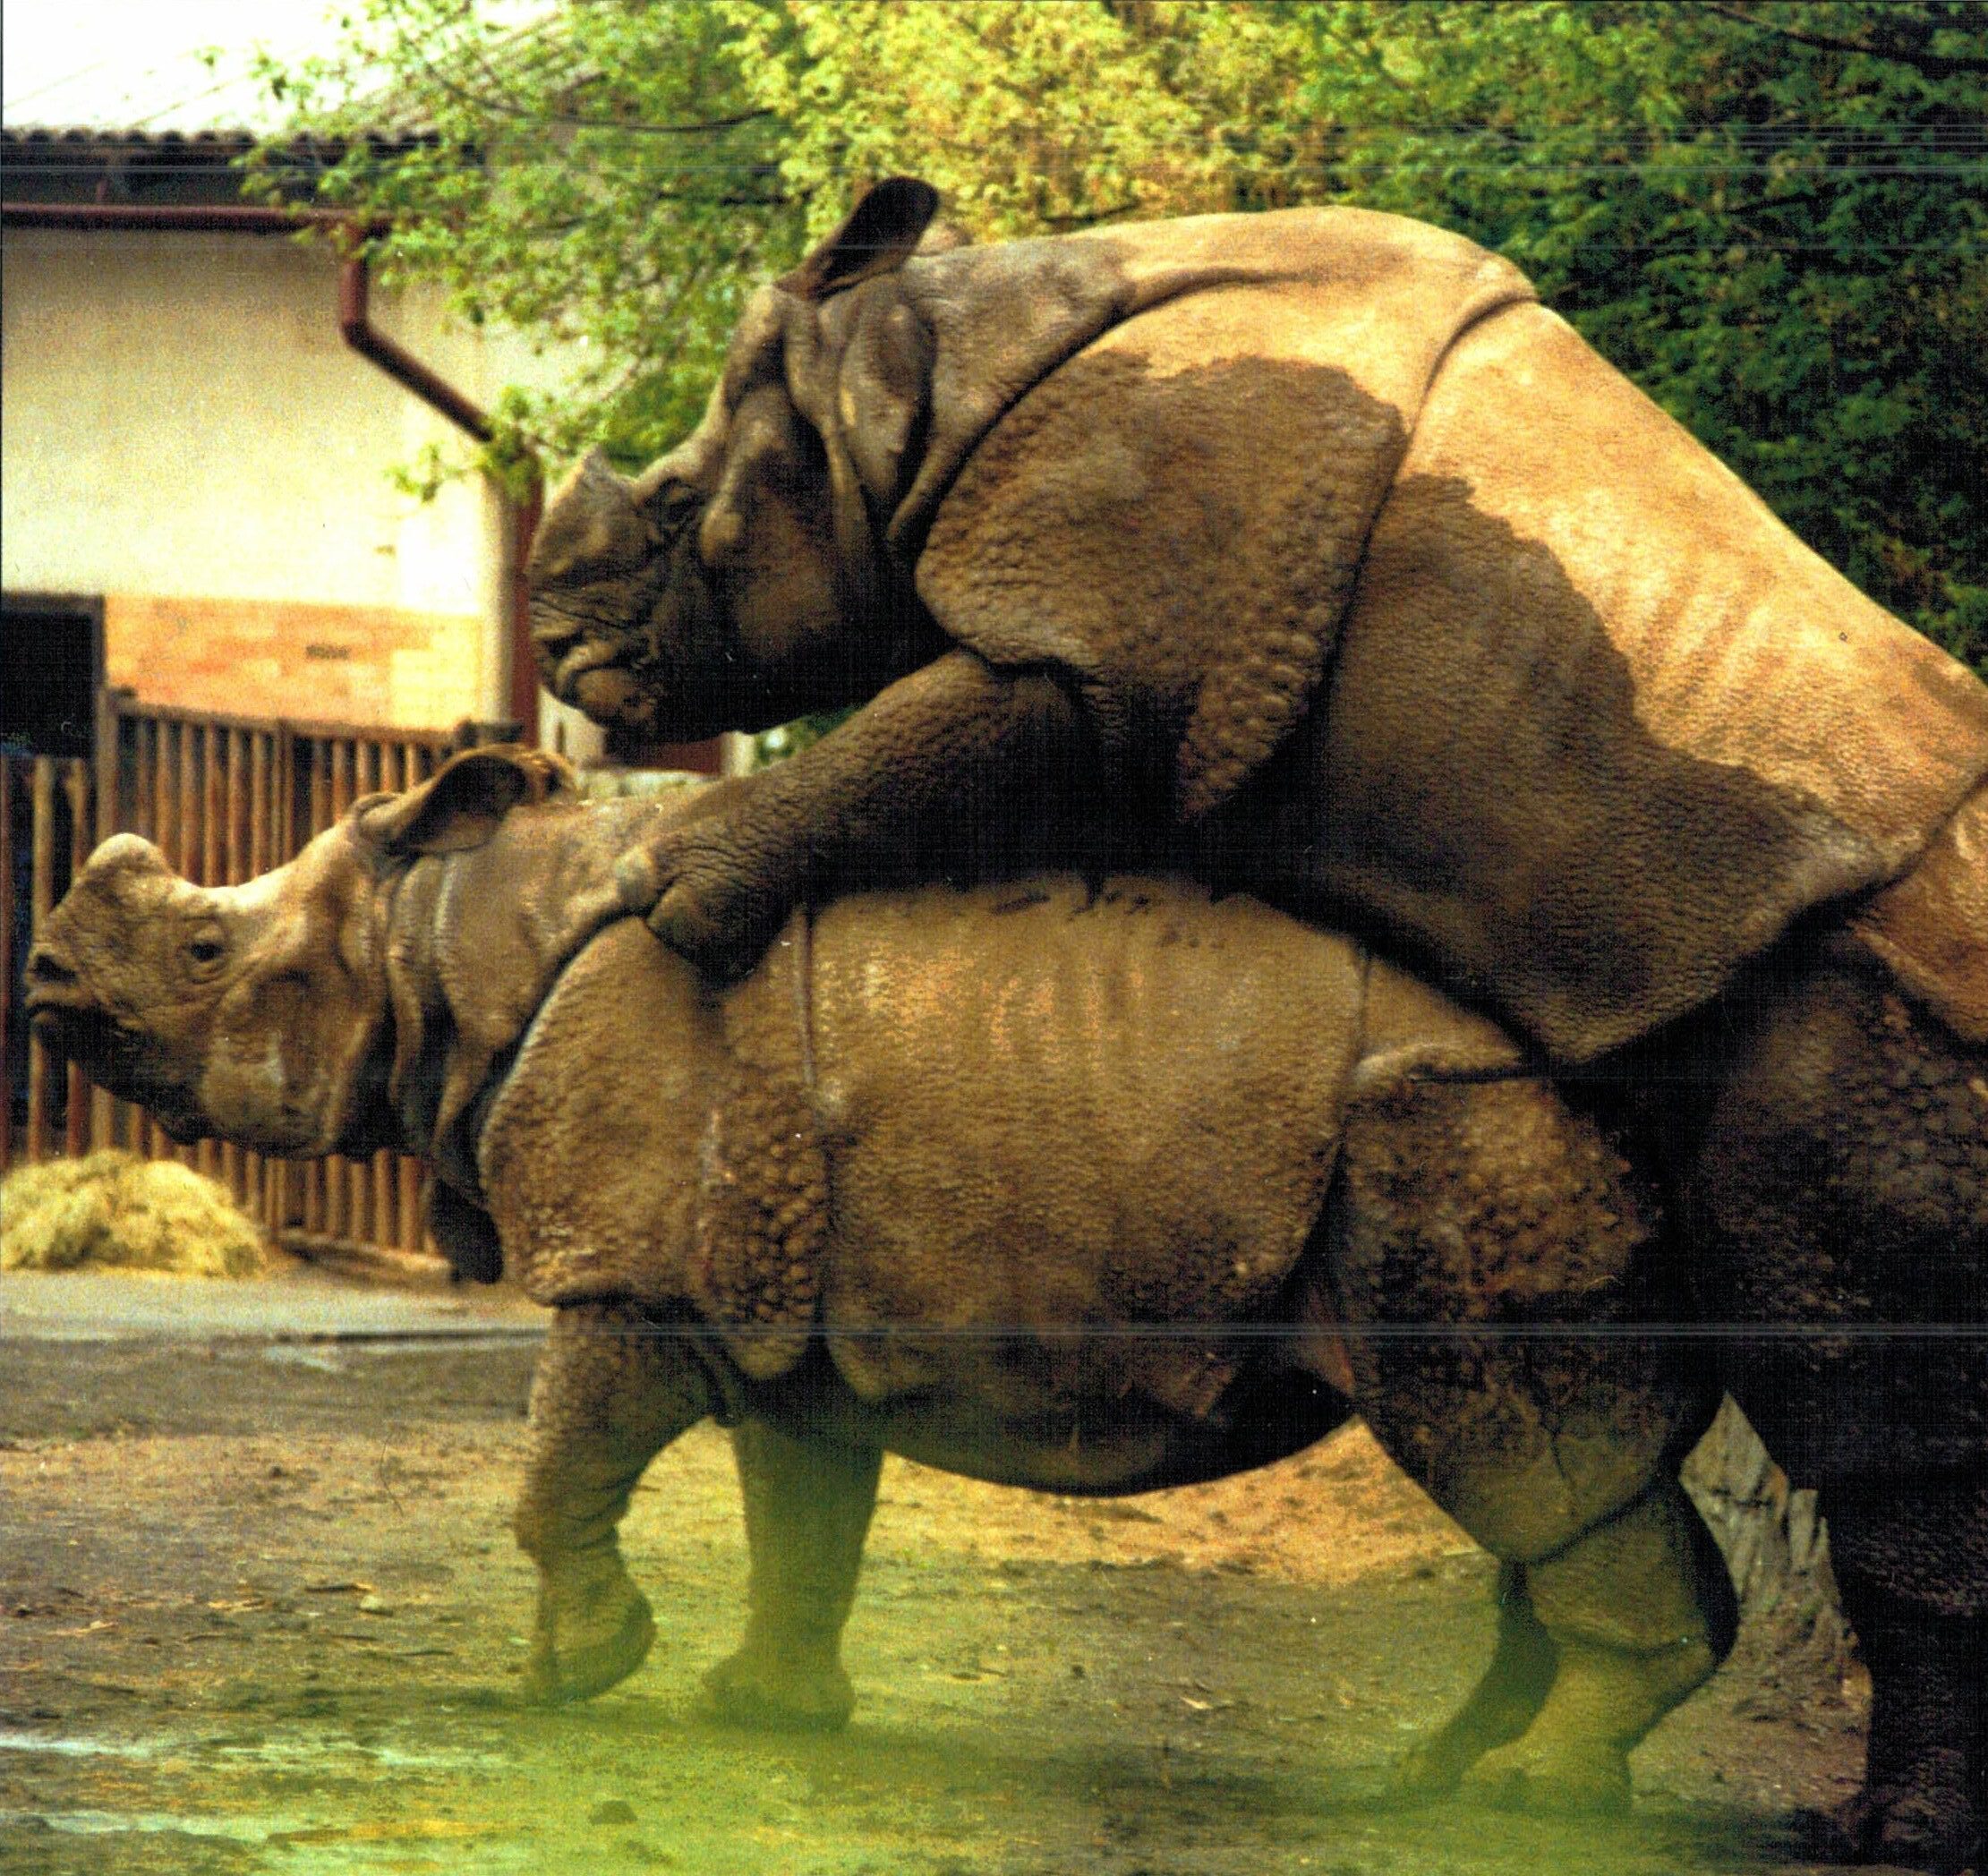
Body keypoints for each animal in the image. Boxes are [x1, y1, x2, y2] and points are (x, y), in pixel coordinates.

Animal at [26, 750, 1986, 1870]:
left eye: (203, 954)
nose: (39, 979)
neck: (449, 936)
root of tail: (1654, 1053)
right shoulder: (774, 1294)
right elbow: (804, 1513)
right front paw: (758, 1711)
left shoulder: (634, 1268)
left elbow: (557, 1470)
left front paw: (580, 1676)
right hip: (1487, 1129)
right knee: (1539, 1473)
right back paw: (1438, 1777)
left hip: (1456, 1125)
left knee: (1517, 1450)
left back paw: (1523, 1806)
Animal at [527, 179, 1988, 1073]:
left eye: (673, 510)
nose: (550, 650)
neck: (902, 392)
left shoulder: (1120, 628)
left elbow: (934, 731)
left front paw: (658, 889)